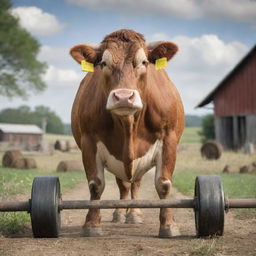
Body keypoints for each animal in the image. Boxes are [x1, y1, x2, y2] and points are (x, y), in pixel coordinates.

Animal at [70, 29, 184, 238]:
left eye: (143, 62)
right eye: (104, 63)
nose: (123, 97)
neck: (128, 124)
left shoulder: (169, 139)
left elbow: (164, 184)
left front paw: (169, 225)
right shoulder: (89, 141)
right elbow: (95, 184)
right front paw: (92, 224)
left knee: (135, 183)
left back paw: (134, 214)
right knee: (123, 185)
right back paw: (120, 213)